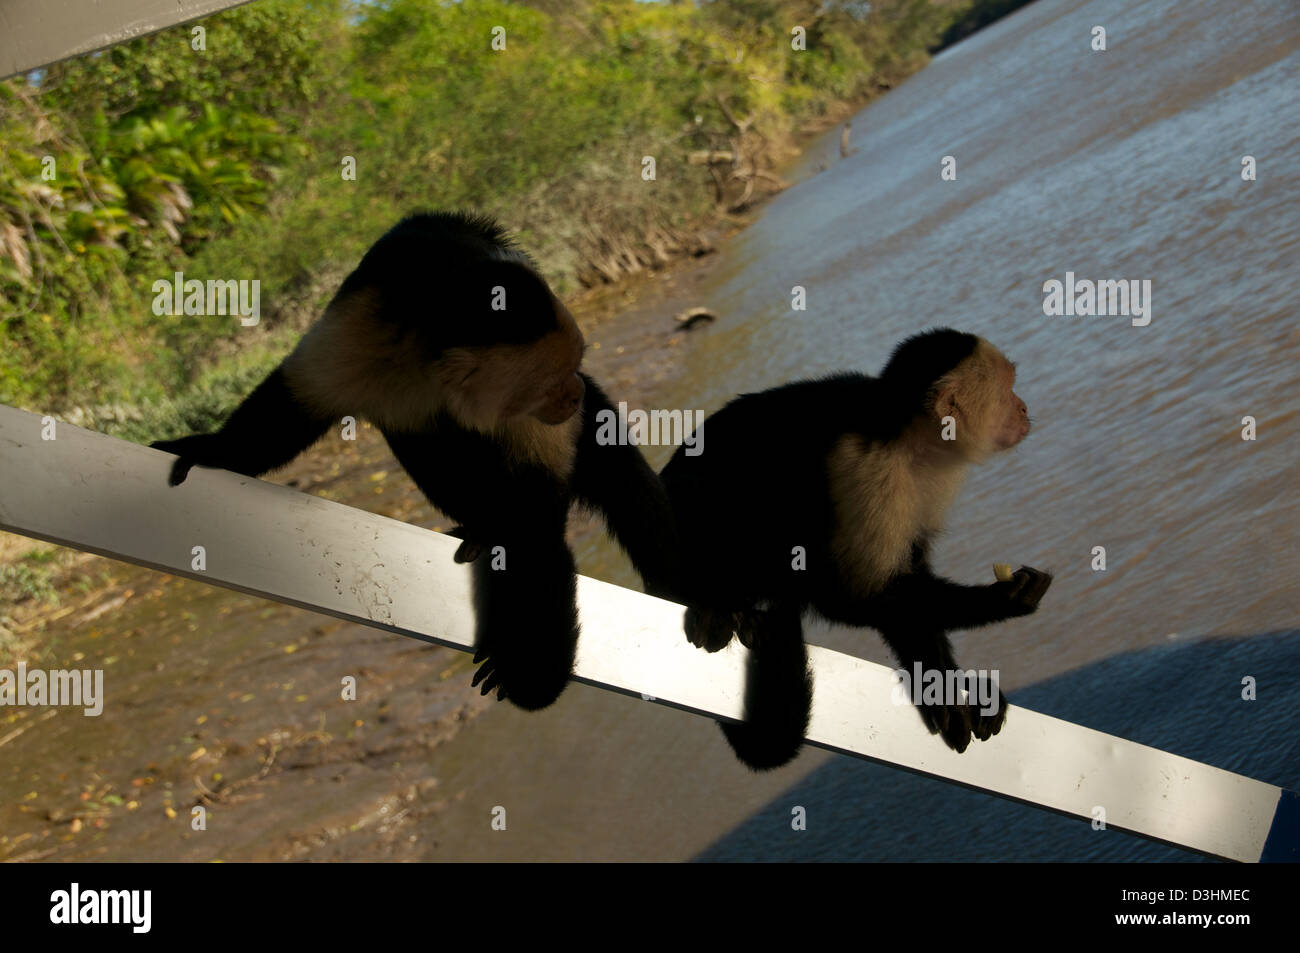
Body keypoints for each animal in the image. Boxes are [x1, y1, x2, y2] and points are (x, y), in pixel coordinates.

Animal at [151, 211, 679, 711]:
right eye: (552, 382)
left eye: (573, 366)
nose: (573, 393)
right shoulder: (365, 322)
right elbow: (295, 404)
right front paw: (213, 449)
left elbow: (533, 522)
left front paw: (529, 672)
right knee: (421, 432)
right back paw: (479, 523)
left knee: (621, 486)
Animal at [659, 328, 1052, 770]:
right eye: (1007, 390)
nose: (1023, 407)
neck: (908, 441)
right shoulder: (864, 468)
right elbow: (847, 596)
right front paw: (1001, 600)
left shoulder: (931, 480)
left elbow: (907, 582)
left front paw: (942, 688)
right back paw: (721, 607)